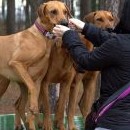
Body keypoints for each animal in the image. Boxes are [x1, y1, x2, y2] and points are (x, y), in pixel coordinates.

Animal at [0, 0, 71, 129]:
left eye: (65, 12)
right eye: (53, 11)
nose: (65, 23)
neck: (42, 37)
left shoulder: (38, 80)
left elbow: (32, 112)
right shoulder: (16, 63)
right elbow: (32, 89)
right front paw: (34, 108)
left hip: (18, 85)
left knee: (19, 106)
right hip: (4, 84)